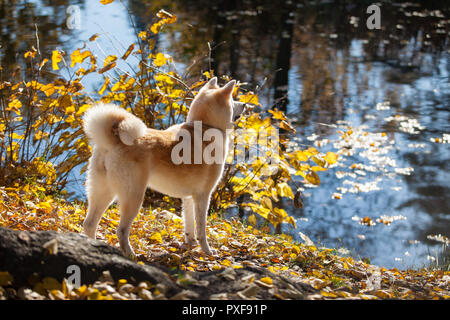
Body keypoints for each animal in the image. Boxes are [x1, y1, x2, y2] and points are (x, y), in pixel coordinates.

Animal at [82, 78, 244, 258]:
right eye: (233, 100)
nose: (245, 105)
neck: (205, 127)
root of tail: (113, 141)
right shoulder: (203, 196)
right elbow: (202, 229)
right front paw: (207, 251)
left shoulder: (188, 198)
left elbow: (189, 226)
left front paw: (190, 245)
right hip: (133, 197)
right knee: (121, 231)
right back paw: (131, 255)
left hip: (103, 192)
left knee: (89, 224)